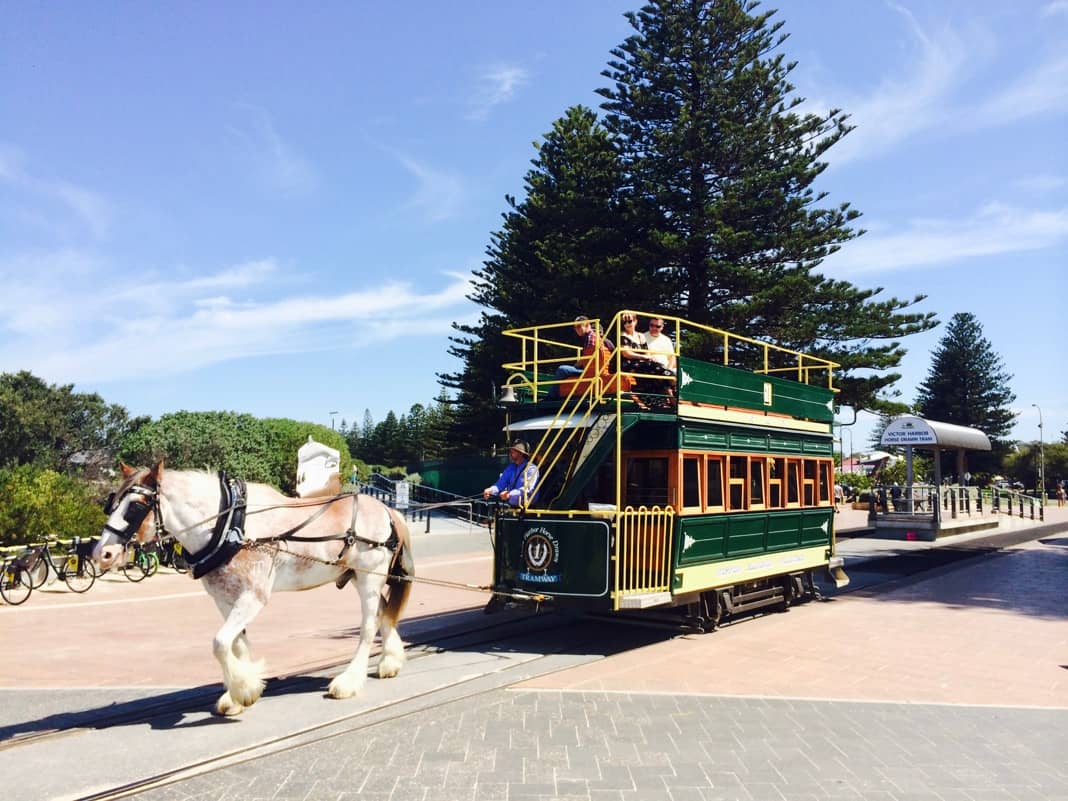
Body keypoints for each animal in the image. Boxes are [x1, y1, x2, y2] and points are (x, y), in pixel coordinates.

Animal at [93, 461, 414, 717]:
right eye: (111, 503)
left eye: (136, 506)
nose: (101, 554)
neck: (229, 526)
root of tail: (388, 509)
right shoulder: (224, 598)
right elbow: (236, 644)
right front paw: (243, 690)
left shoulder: (253, 596)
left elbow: (220, 643)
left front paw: (243, 690)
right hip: (357, 576)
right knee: (384, 612)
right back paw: (390, 661)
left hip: (369, 577)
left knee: (368, 625)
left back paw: (349, 681)